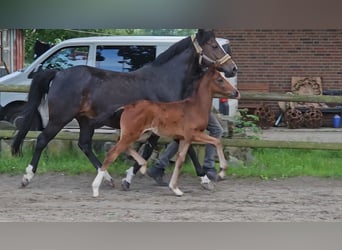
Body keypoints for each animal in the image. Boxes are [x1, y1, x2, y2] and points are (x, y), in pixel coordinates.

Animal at [92, 65, 239, 197]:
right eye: (219, 79)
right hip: (132, 134)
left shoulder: (184, 139)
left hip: (139, 134)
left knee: (122, 144)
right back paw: (95, 189)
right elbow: (217, 142)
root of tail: (127, 107)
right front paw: (222, 172)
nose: (236, 92)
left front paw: (175, 189)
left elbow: (180, 160)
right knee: (112, 153)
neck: (195, 107)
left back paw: (143, 166)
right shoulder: (193, 134)